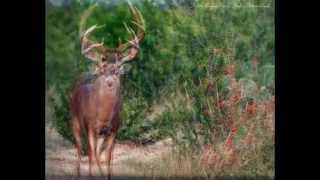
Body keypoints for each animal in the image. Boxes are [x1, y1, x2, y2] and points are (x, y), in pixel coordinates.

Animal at [71, 3, 145, 179]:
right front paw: (92, 175)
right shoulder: (91, 127)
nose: (110, 81)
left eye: (117, 70)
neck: (103, 115)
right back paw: (78, 173)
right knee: (79, 149)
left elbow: (108, 158)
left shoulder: (114, 130)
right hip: (74, 121)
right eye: (103, 70)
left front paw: (106, 175)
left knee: (97, 152)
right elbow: (92, 156)